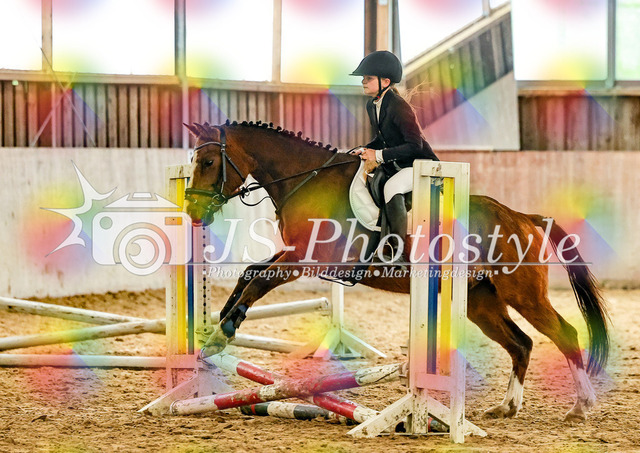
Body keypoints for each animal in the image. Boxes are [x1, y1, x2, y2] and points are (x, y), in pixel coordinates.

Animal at [183, 120, 610, 423]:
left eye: (209, 162)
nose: (193, 212)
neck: (305, 180)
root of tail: (521, 217)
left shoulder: (306, 259)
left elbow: (257, 282)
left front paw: (220, 336)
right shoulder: (293, 254)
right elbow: (250, 273)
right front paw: (217, 328)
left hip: (522, 294)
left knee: (565, 334)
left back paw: (581, 406)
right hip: (482, 303)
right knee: (521, 344)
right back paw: (507, 406)